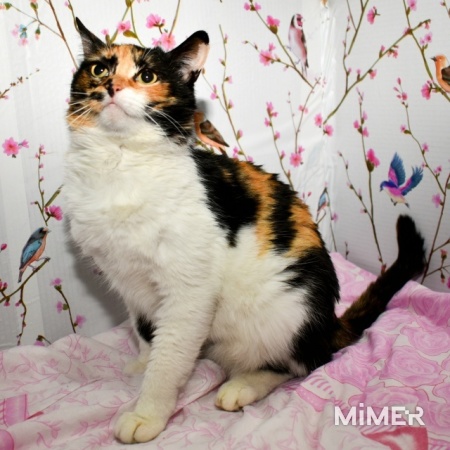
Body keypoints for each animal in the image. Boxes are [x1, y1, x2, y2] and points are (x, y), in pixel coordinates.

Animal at [64, 18, 426, 444]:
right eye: (99, 68)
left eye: (147, 76)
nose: (111, 87)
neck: (119, 162)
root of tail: (326, 323)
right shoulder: (129, 282)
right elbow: (143, 331)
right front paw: (141, 361)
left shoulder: (189, 290)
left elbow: (170, 357)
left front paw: (148, 412)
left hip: (284, 314)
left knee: (307, 362)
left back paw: (244, 385)